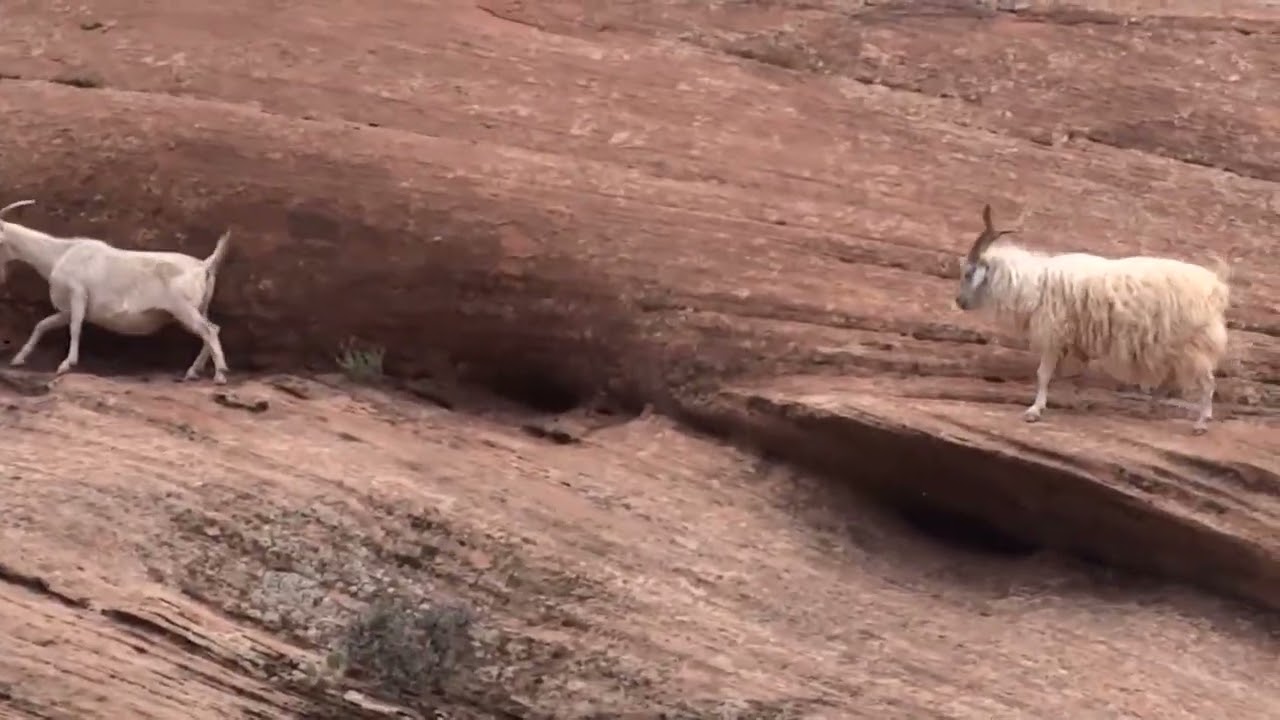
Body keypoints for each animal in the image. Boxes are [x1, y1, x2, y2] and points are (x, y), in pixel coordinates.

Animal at [0, 199, 232, 384]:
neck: (59, 254)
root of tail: (204, 265)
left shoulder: (78, 294)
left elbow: (75, 327)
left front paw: (66, 364)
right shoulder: (67, 309)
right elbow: (42, 325)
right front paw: (18, 359)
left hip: (184, 308)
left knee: (209, 331)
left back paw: (220, 374)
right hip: (199, 307)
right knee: (212, 329)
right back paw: (193, 372)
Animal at [954, 203, 1231, 435]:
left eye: (968, 273)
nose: (959, 302)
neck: (1035, 283)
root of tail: (1216, 287)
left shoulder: (1053, 333)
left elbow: (1043, 374)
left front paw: (1034, 411)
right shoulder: (1075, 342)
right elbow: (1073, 376)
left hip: (1195, 345)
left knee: (1208, 383)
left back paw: (1201, 423)